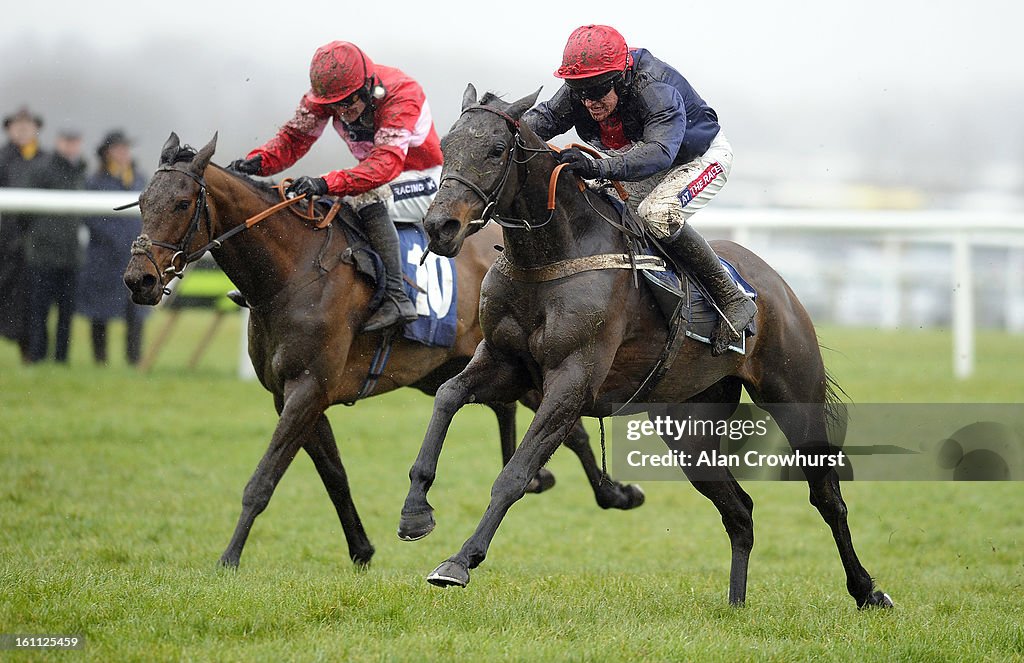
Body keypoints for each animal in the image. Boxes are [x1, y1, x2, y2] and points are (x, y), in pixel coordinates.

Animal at [123, 132, 643, 569]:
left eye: (182, 202)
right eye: (142, 202)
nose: (139, 279)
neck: (291, 272)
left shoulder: (308, 388)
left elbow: (263, 479)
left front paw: (229, 558)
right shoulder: (291, 395)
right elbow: (334, 475)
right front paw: (361, 549)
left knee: (569, 427)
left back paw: (612, 493)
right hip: (457, 366)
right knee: (523, 413)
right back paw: (556, 482)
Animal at [395, 88, 892, 610]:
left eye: (495, 150)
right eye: (446, 146)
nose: (439, 225)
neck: (552, 254)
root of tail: (778, 285)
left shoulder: (572, 380)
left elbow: (516, 472)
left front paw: (459, 561)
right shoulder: (502, 361)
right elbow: (449, 395)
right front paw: (415, 512)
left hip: (795, 396)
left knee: (827, 497)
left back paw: (868, 591)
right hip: (689, 423)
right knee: (739, 509)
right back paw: (736, 603)